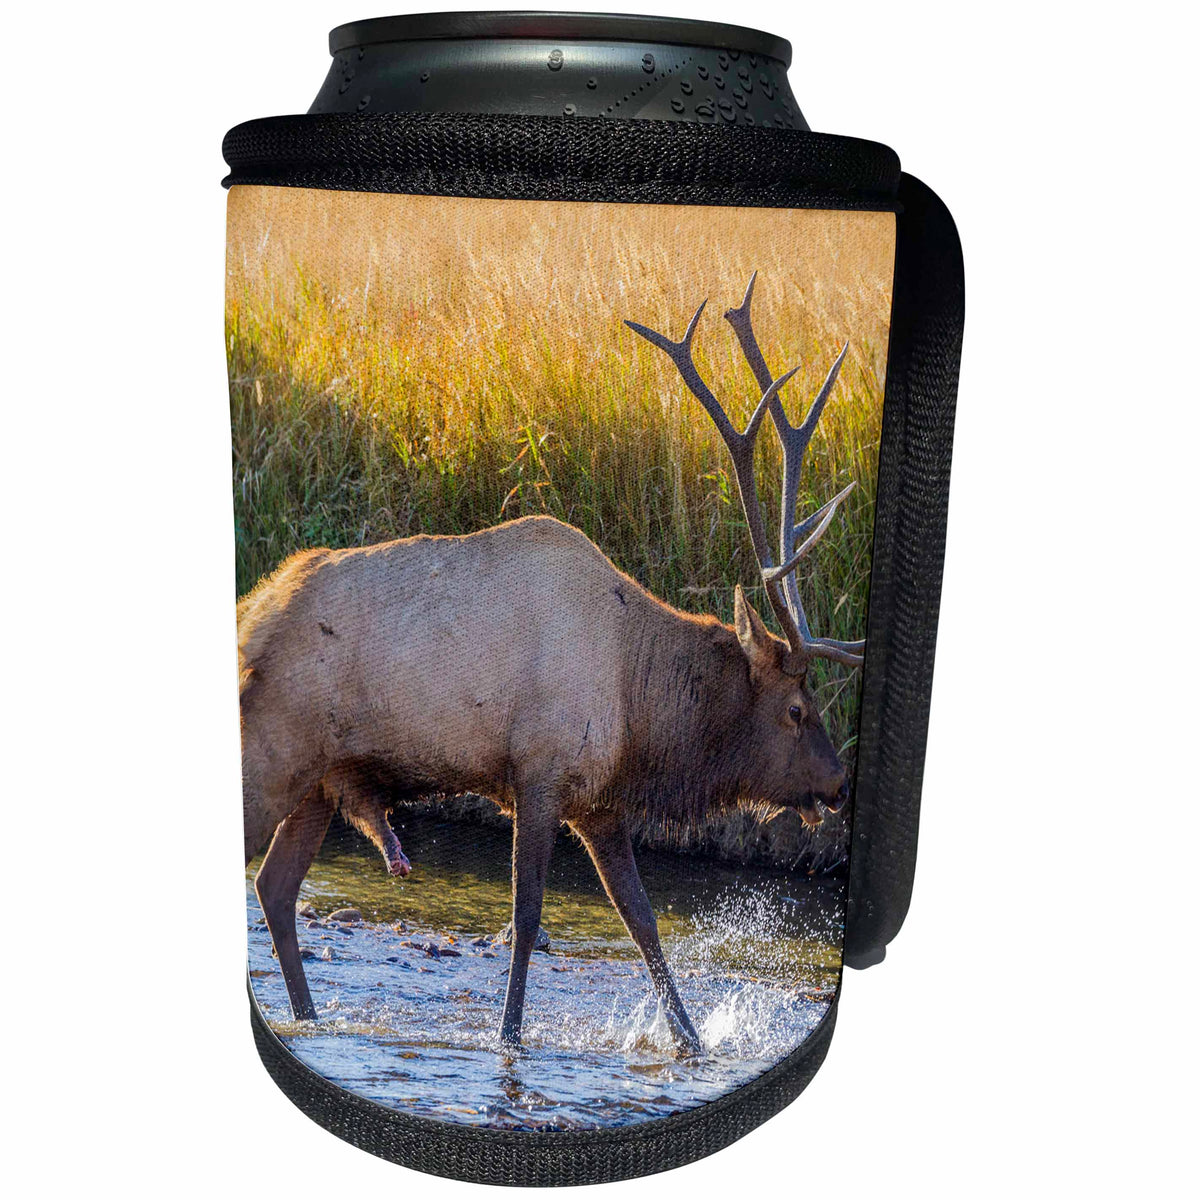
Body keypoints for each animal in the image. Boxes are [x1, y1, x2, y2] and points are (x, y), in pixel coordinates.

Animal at [240, 273, 864, 1055]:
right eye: (796, 709)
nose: (839, 784)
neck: (639, 709)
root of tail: (250, 616)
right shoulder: (537, 775)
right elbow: (528, 918)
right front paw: (509, 1037)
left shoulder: (598, 803)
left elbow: (643, 923)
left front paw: (692, 1043)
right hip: (273, 751)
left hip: (321, 782)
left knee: (275, 887)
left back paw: (310, 1018)